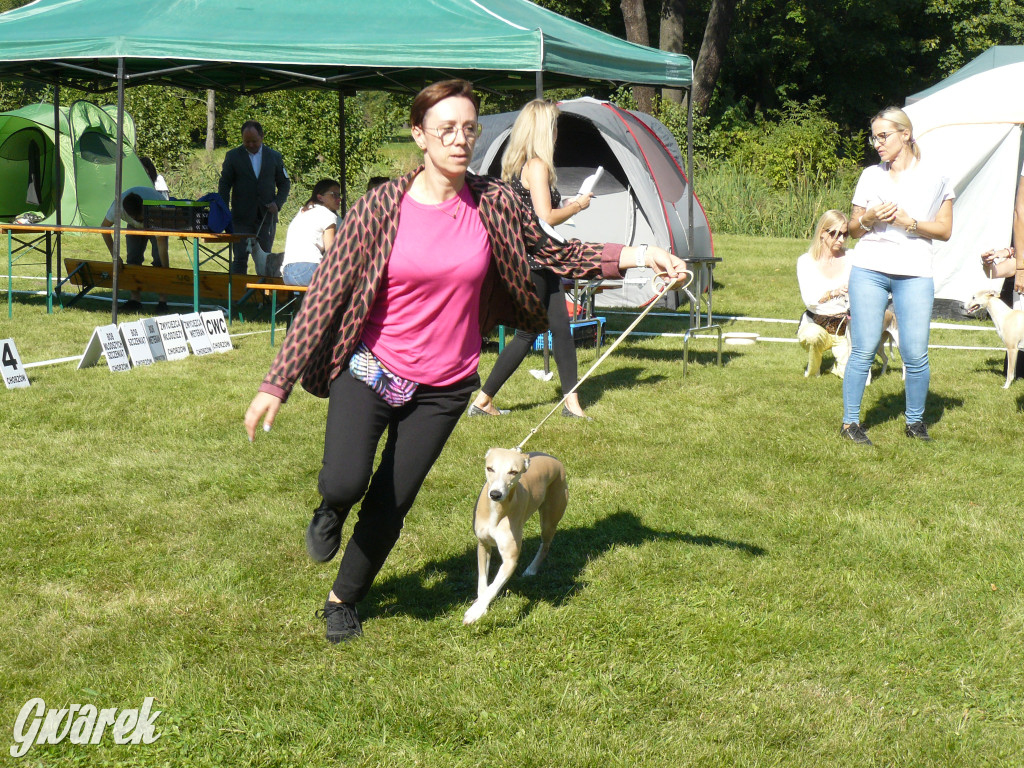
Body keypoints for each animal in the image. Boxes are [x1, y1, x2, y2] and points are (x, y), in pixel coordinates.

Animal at [464, 450, 569, 626]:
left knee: (545, 545)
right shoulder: (483, 545)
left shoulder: (510, 560)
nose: (495, 494)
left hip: (550, 517)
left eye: (513, 472)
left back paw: (532, 569)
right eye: (490, 468)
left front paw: (474, 612)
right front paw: (481, 607)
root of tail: (553, 459)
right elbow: (483, 581)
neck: (497, 510)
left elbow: (493, 587)